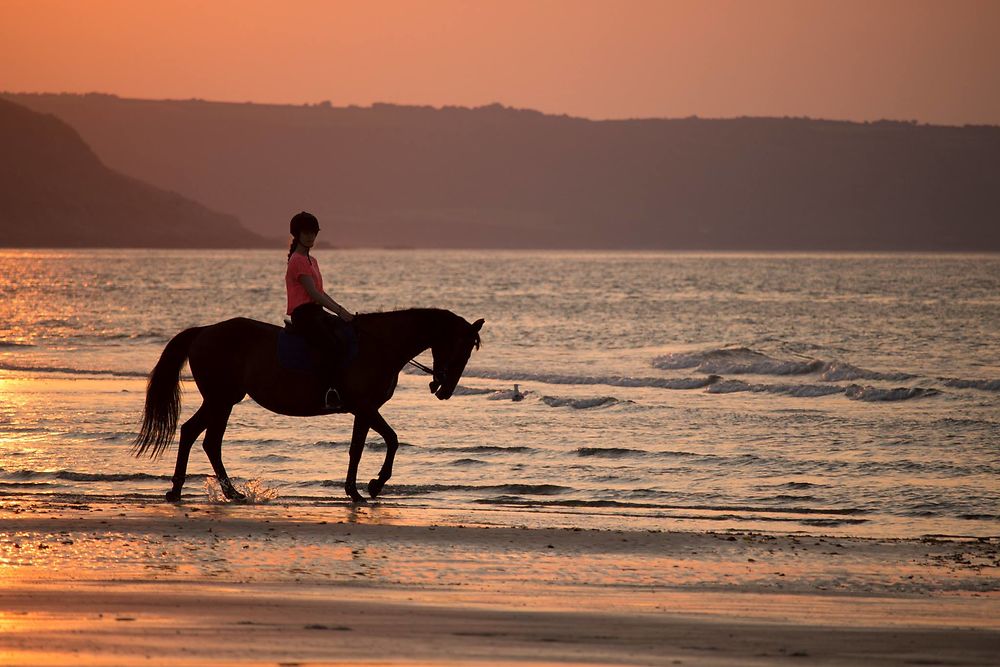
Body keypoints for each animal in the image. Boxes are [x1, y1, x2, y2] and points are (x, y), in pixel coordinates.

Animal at [131, 310, 482, 504]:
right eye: (462, 349)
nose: (444, 390)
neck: (379, 346)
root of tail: (203, 332)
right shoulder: (365, 406)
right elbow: (389, 441)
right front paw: (373, 486)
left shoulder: (363, 410)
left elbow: (359, 448)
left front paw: (356, 490)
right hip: (220, 399)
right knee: (202, 437)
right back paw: (193, 491)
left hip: (223, 400)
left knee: (200, 437)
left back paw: (213, 492)